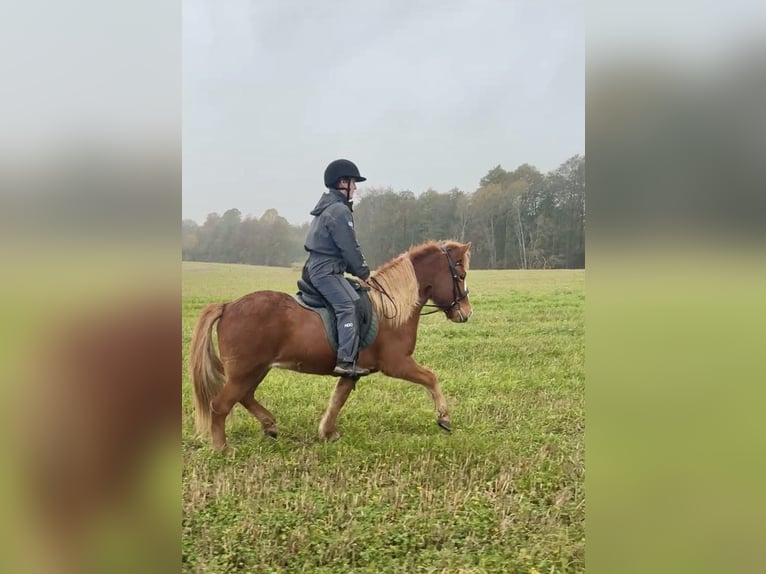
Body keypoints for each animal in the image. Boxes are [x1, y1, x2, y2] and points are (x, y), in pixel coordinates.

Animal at [190, 240, 473, 451]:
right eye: (460, 275)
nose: (466, 313)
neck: (391, 307)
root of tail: (228, 306)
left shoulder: (352, 370)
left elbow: (338, 398)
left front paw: (327, 432)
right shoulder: (397, 363)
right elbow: (431, 378)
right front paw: (444, 417)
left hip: (256, 369)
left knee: (245, 396)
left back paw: (269, 424)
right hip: (245, 370)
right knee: (221, 405)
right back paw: (222, 448)